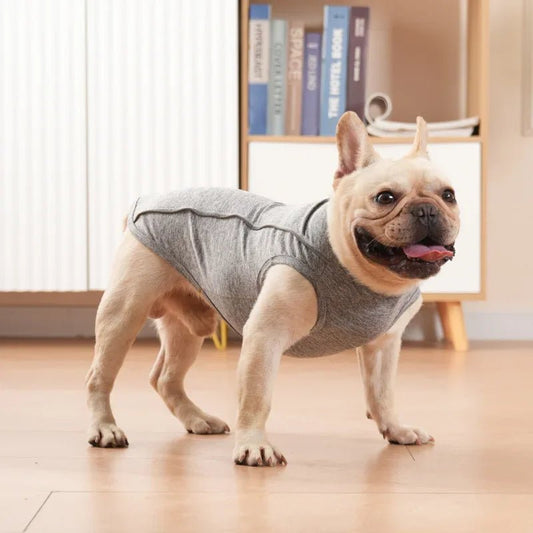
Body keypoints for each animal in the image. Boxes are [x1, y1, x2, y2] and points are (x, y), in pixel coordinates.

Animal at [86, 111, 458, 466]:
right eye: (385, 197)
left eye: (449, 195)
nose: (426, 210)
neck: (364, 277)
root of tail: (145, 200)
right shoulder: (265, 336)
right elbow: (256, 397)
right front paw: (254, 446)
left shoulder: (384, 346)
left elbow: (382, 393)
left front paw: (396, 429)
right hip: (124, 312)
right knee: (99, 376)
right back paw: (105, 428)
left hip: (188, 329)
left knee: (165, 378)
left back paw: (197, 419)